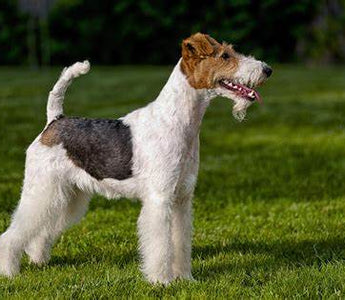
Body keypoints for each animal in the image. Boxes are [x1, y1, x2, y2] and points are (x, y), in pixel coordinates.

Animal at [0, 32, 272, 284]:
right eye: (225, 56)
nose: (267, 70)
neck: (180, 121)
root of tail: (54, 120)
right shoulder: (160, 198)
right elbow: (160, 245)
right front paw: (162, 281)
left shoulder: (182, 198)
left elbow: (180, 241)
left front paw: (185, 278)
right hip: (42, 189)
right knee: (14, 232)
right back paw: (9, 271)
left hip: (67, 195)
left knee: (41, 231)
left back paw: (38, 259)